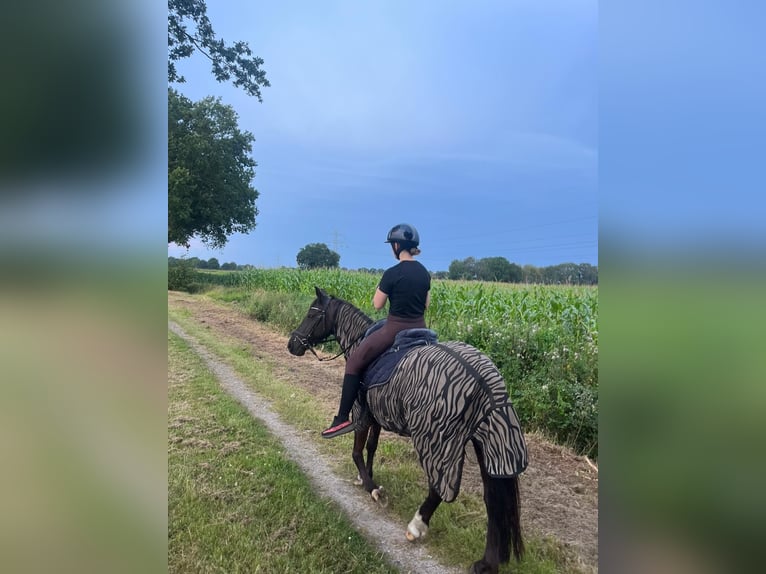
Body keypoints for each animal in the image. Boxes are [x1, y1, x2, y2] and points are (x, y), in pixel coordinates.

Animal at [284, 288, 532, 574]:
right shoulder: (376, 414)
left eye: (312, 314)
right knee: (493, 500)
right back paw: (486, 562)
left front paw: (371, 487)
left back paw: (417, 525)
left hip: (437, 441)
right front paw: (366, 477)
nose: (292, 344)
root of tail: (484, 379)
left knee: (439, 489)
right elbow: (371, 447)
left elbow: (357, 450)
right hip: (487, 442)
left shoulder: (361, 411)